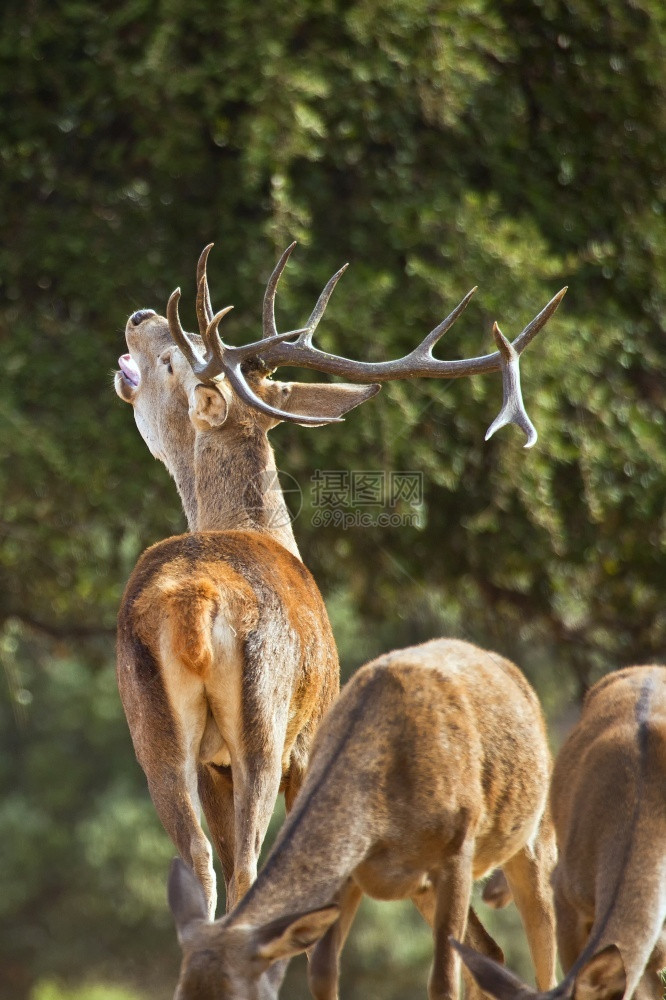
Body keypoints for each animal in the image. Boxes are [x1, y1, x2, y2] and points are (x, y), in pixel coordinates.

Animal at [116, 240, 564, 916]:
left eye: (171, 360)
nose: (140, 315)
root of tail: (194, 600)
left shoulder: (249, 753)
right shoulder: (305, 732)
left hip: (165, 735)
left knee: (204, 865)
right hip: (259, 722)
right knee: (246, 870)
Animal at [165, 636, 556, 1000]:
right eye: (179, 992)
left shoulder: (457, 847)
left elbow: (443, 983)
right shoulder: (349, 873)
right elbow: (322, 975)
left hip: (534, 837)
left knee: (544, 952)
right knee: (487, 951)